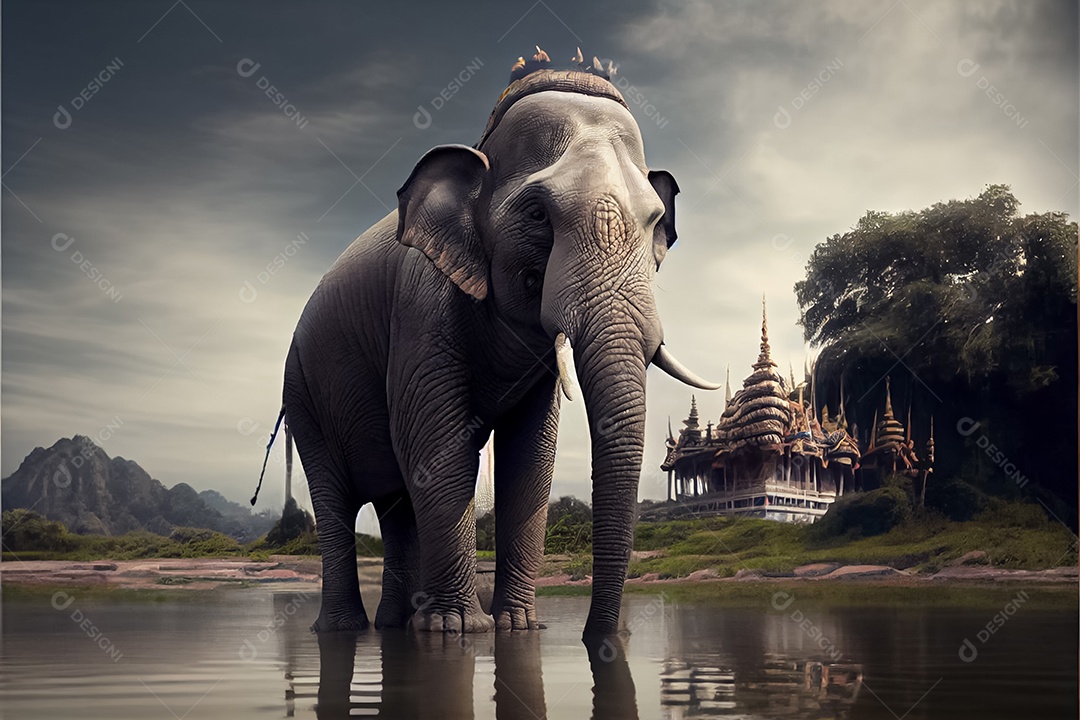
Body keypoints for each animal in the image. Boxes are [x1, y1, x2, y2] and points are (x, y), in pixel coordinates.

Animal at [280, 63, 718, 638]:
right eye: (536, 213)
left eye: (654, 221)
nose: (604, 637)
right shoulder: (422, 305)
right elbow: (435, 442)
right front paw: (459, 630)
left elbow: (529, 457)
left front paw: (519, 627)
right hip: (302, 395)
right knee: (335, 502)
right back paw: (347, 630)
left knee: (396, 503)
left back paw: (396, 627)